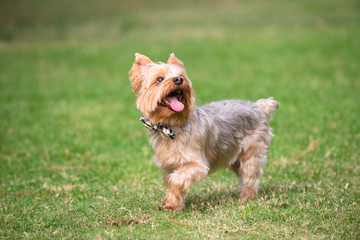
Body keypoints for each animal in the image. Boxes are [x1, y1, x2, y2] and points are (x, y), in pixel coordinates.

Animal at [128, 53, 280, 212]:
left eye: (181, 76)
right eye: (159, 79)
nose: (178, 80)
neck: (171, 125)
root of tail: (259, 107)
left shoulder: (197, 165)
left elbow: (177, 179)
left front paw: (171, 202)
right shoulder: (169, 166)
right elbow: (172, 181)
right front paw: (175, 205)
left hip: (252, 152)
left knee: (251, 175)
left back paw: (246, 198)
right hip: (234, 158)